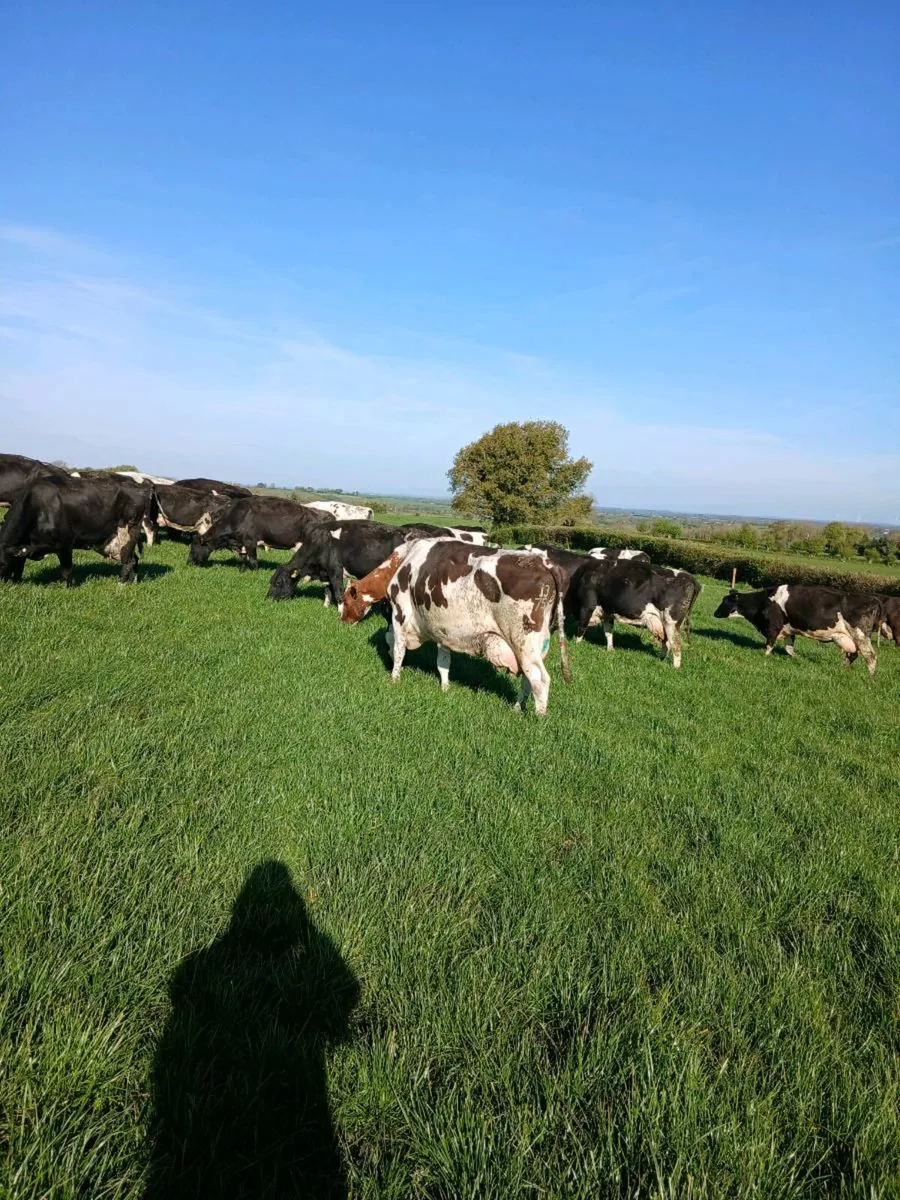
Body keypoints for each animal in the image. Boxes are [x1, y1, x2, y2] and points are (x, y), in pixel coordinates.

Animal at [0, 473, 157, 585]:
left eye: (2, 564)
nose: (4, 585)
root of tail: (139, 486)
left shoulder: (65, 543)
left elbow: (66, 570)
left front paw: (67, 588)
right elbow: (20, 564)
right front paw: (17, 581)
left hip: (127, 532)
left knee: (129, 561)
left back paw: (121, 585)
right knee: (134, 559)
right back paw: (133, 582)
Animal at [268, 520, 408, 606]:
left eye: (278, 582)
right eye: (271, 581)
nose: (267, 599)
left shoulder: (335, 570)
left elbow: (338, 592)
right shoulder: (325, 573)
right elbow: (327, 590)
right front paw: (325, 606)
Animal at [340, 539, 571, 714]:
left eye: (345, 601)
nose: (342, 621)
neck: (404, 560)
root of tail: (544, 563)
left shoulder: (399, 616)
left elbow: (398, 649)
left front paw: (394, 679)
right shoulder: (442, 628)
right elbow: (443, 661)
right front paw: (445, 687)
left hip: (524, 640)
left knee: (540, 679)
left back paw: (539, 717)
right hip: (536, 645)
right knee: (527, 678)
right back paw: (516, 708)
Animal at [569, 559, 701, 667]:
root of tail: (690, 578)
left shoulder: (586, 606)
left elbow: (581, 627)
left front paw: (576, 644)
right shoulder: (608, 612)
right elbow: (608, 632)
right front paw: (610, 649)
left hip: (671, 622)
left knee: (676, 645)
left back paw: (675, 668)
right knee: (667, 642)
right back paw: (661, 659)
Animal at [713, 585, 881, 675]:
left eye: (725, 601)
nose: (714, 613)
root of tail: (873, 599)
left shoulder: (773, 626)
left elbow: (769, 644)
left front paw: (764, 657)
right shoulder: (788, 630)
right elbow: (789, 649)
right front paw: (796, 659)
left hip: (860, 635)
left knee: (870, 656)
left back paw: (870, 678)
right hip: (847, 638)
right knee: (853, 655)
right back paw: (843, 669)